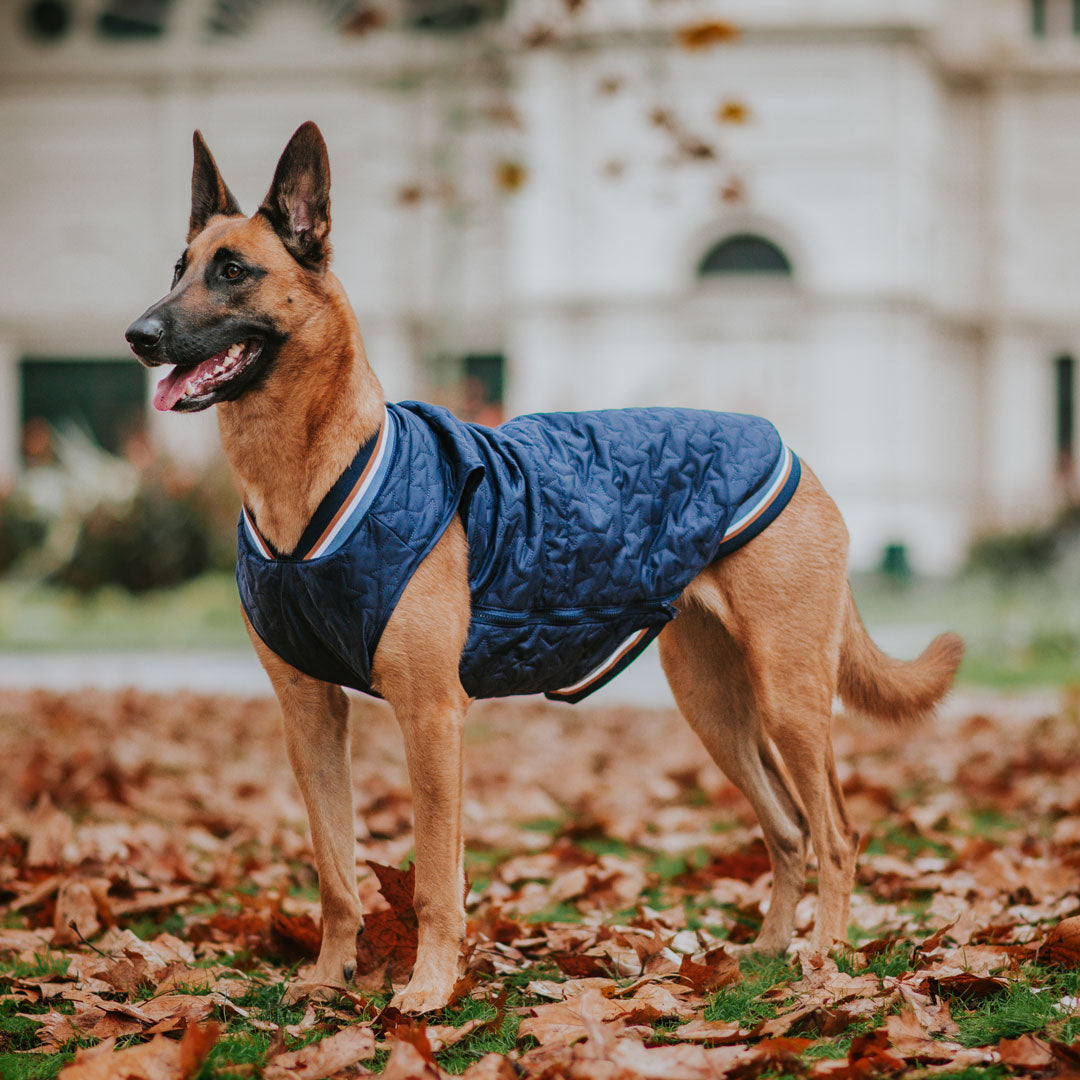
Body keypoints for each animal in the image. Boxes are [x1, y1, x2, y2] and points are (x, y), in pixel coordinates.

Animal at [124, 120, 963, 1010]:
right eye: (177, 268)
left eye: (234, 271)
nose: (138, 336)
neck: (311, 475)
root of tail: (793, 455)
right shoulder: (310, 714)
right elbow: (335, 870)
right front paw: (327, 978)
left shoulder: (431, 716)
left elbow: (435, 879)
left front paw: (428, 988)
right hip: (717, 708)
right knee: (789, 829)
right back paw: (766, 952)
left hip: (789, 697)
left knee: (835, 832)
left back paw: (825, 963)